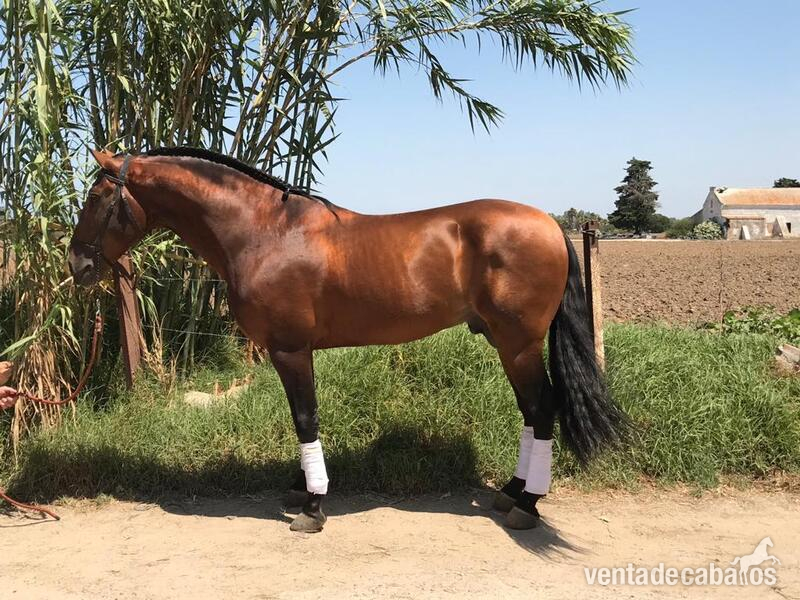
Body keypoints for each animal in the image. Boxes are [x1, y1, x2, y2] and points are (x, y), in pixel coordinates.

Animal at [68, 147, 627, 533]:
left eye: (96, 197)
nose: (78, 265)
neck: (264, 231)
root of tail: (552, 226)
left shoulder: (291, 350)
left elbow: (304, 417)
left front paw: (314, 506)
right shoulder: (290, 352)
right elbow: (299, 418)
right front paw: (301, 491)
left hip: (518, 345)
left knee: (543, 409)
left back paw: (528, 503)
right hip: (507, 344)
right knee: (533, 413)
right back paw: (512, 492)